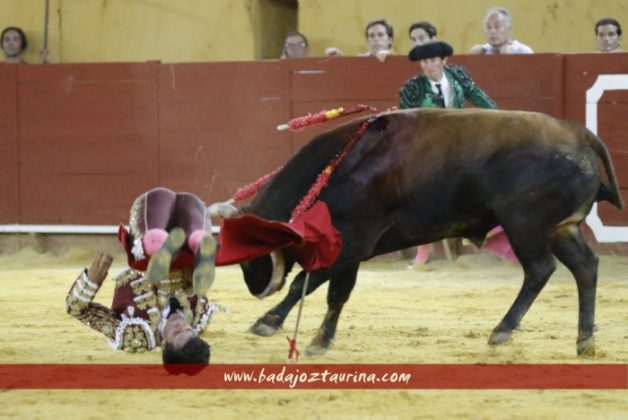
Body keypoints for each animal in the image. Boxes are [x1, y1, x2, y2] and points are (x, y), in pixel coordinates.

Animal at [223, 107, 620, 354]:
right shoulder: (354, 251)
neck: (340, 169)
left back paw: (503, 329)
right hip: (561, 229)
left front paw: (267, 322)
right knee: (585, 268)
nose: (255, 288)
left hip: (524, 224)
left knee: (540, 269)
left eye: (248, 250)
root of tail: (579, 133)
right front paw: (321, 341)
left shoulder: (351, 243)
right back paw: (584, 339)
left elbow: (306, 282)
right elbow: (338, 293)